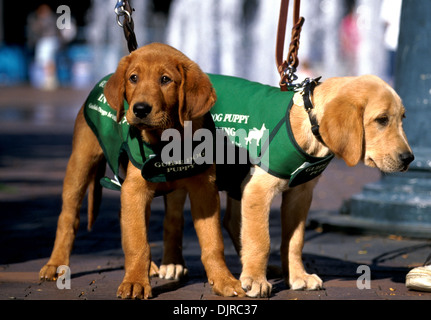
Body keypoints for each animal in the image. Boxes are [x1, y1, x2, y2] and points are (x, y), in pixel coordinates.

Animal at [40, 43, 245, 298]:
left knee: (162, 220)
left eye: (165, 79)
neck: (166, 143)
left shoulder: (204, 190)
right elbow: (138, 243)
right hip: (80, 163)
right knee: (69, 217)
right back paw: (55, 263)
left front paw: (223, 279)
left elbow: (213, 242)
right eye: (133, 78)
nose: (139, 109)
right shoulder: (135, 189)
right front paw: (135, 281)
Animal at [164, 74, 414, 298]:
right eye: (382, 119)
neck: (308, 125)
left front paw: (296, 276)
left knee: (232, 221)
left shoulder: (300, 194)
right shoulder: (258, 188)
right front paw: (255, 280)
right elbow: (261, 239)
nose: (409, 159)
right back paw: (172, 265)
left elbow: (294, 241)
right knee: (174, 220)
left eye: (403, 118)